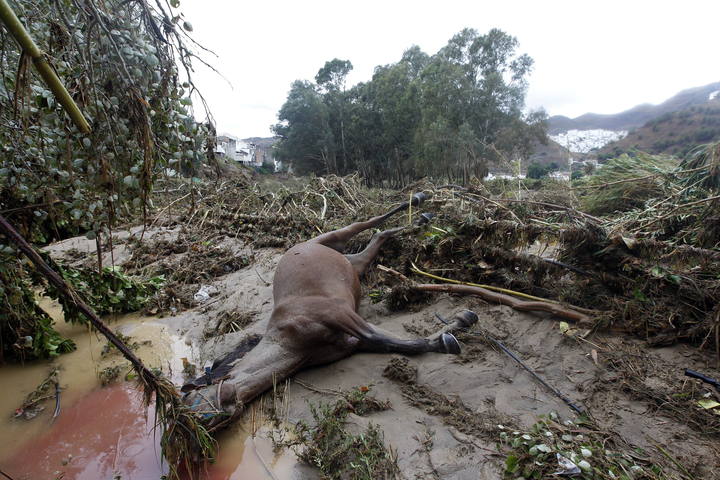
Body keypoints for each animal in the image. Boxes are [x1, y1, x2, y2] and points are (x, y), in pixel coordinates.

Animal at [181, 193, 478, 430]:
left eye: (189, 398)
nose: (198, 426)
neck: (290, 341)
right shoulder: (353, 341)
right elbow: (393, 344)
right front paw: (453, 330)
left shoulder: (342, 316)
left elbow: (387, 339)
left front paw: (455, 331)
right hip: (357, 264)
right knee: (378, 235)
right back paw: (420, 220)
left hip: (334, 236)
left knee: (367, 223)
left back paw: (420, 202)